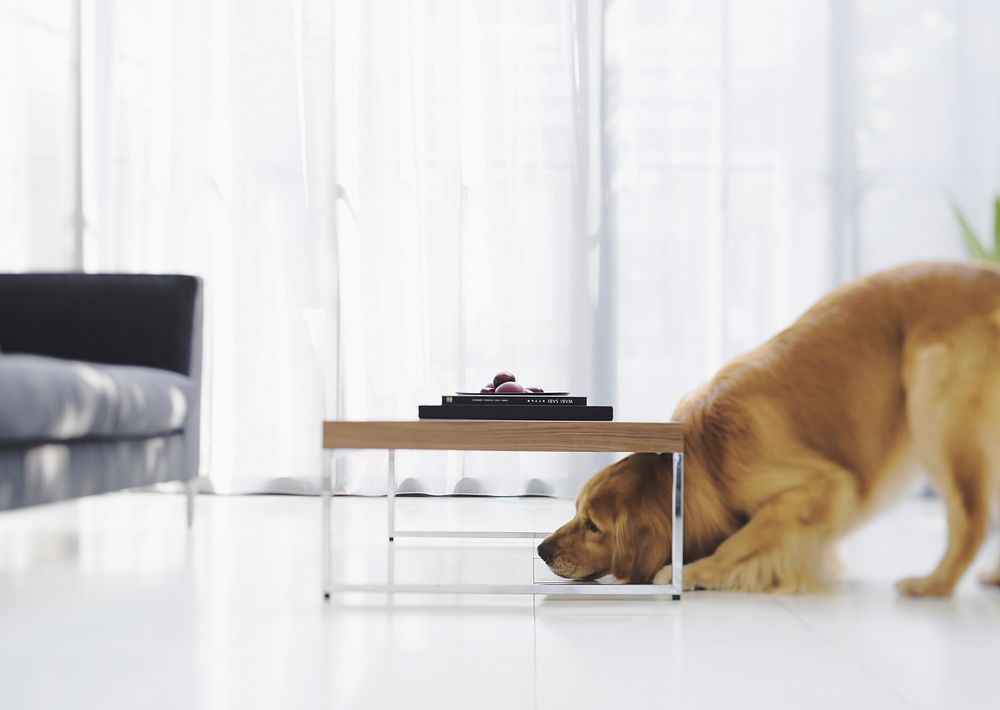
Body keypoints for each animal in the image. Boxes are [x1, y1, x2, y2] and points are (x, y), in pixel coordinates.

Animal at [540, 262, 1000, 596]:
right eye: (574, 511)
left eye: (593, 526)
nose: (542, 550)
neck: (711, 454)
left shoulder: (824, 486)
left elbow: (742, 539)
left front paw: (695, 571)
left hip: (935, 408)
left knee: (971, 522)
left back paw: (934, 583)